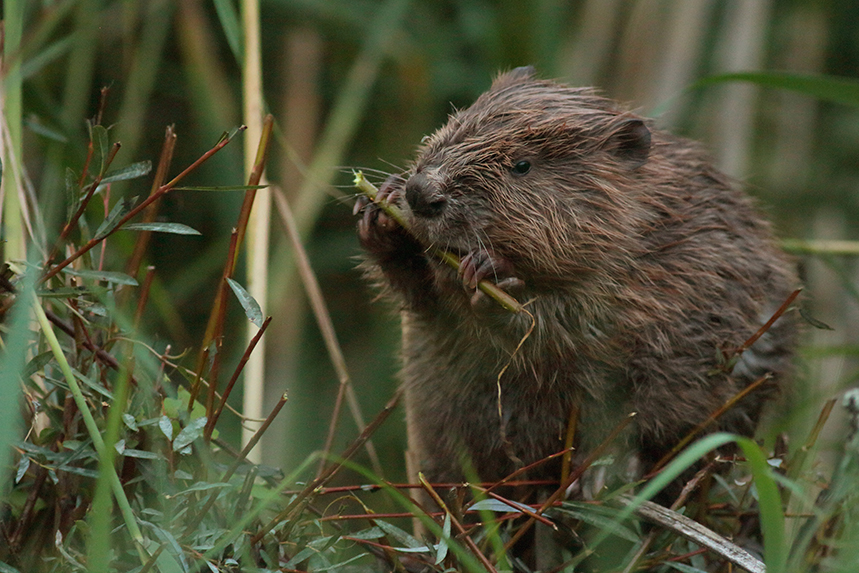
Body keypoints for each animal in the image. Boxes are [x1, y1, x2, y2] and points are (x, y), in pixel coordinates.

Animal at [352, 68, 796, 500]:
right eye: (451, 127)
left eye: (522, 165)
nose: (421, 192)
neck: (649, 217)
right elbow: (424, 301)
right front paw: (382, 211)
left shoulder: (688, 273)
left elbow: (581, 333)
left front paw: (494, 277)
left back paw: (600, 477)